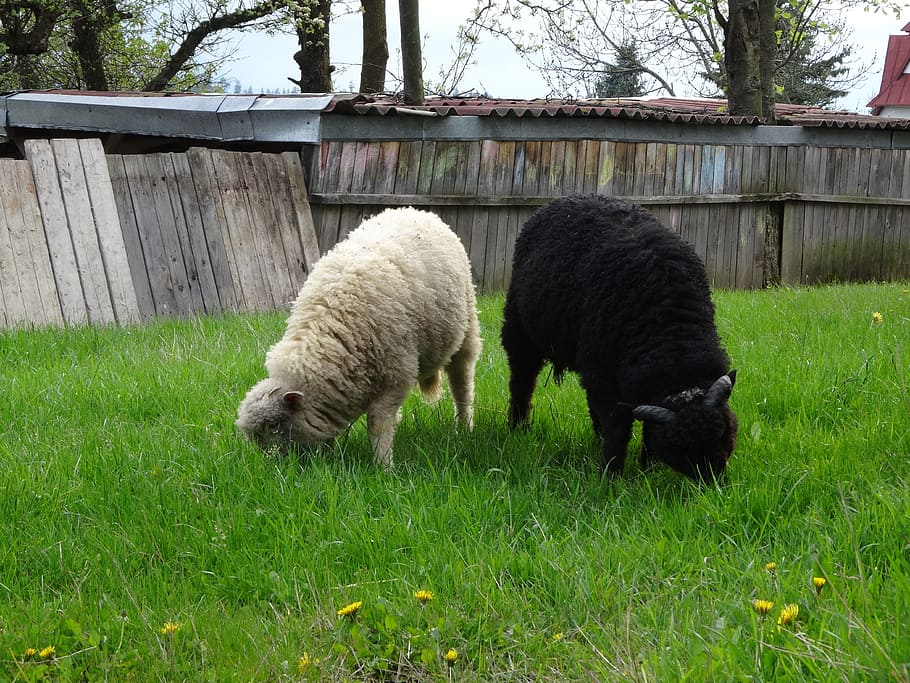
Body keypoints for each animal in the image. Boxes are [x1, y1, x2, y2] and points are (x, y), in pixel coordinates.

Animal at [236, 206, 481, 468]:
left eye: (273, 426)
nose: (278, 469)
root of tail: (415, 210)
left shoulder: (396, 375)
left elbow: (377, 423)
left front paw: (384, 466)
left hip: (466, 329)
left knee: (462, 384)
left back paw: (464, 426)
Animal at [500, 194, 738, 481]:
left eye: (723, 433)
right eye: (679, 449)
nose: (713, 483)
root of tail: (566, 198)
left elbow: (645, 426)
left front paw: (648, 467)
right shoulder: (606, 377)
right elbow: (618, 428)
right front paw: (611, 474)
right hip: (521, 332)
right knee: (522, 381)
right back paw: (518, 428)